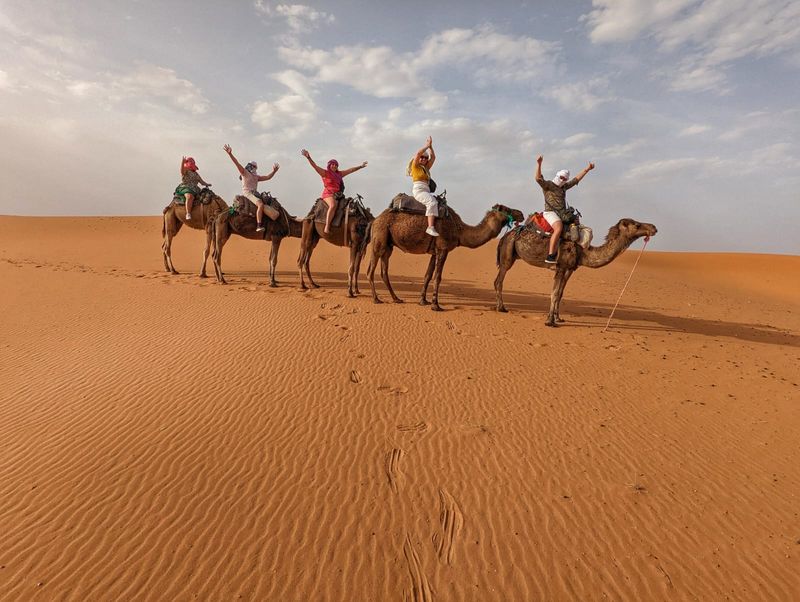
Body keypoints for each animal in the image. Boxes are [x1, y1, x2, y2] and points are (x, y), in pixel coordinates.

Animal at [366, 199, 520, 310]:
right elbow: (437, 277)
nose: (520, 213)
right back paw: (376, 299)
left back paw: (396, 298)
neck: (459, 230)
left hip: (388, 245)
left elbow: (428, 275)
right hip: (379, 239)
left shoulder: (435, 251)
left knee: (384, 271)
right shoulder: (443, 249)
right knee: (370, 270)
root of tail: (374, 220)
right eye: (507, 209)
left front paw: (423, 301)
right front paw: (436, 305)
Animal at [494, 218, 656, 326]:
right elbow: (554, 293)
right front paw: (550, 321)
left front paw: (558, 318)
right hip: (508, 254)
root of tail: (504, 236)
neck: (582, 251)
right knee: (499, 280)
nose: (654, 227)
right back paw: (501, 308)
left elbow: (560, 294)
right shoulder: (560, 267)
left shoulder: (570, 269)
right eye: (636, 224)